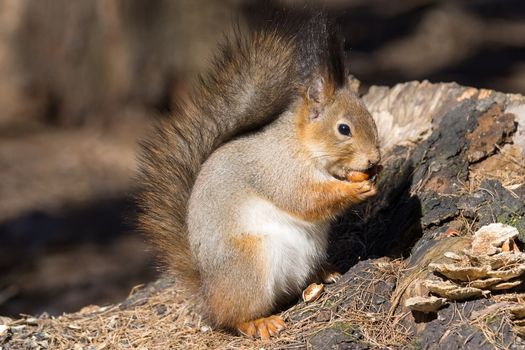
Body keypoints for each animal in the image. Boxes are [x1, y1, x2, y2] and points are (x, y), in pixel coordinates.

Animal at [137, 10, 378, 340]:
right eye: (344, 129)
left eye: (372, 119)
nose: (374, 158)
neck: (300, 144)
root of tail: (207, 293)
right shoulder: (279, 170)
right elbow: (305, 199)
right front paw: (355, 189)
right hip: (251, 264)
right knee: (233, 316)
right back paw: (257, 322)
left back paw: (324, 272)